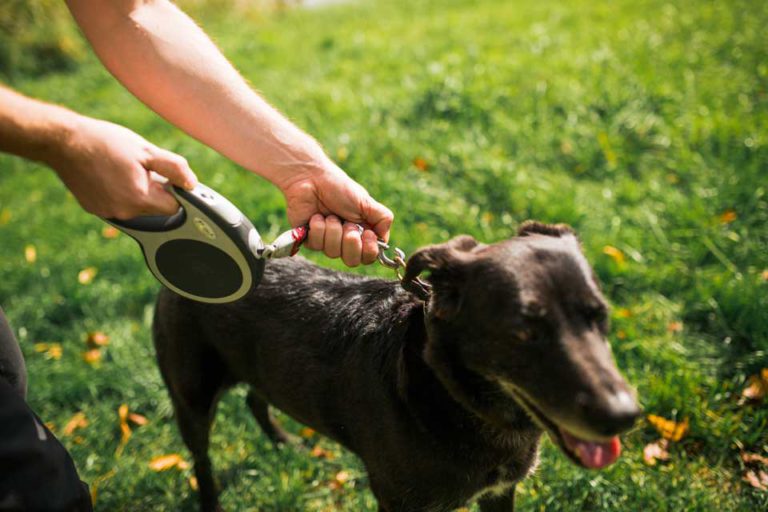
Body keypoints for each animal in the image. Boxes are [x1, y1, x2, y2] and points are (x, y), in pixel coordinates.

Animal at [152, 221, 640, 512]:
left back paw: (283, 442)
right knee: (201, 460)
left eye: (600, 315)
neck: (451, 397)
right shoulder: (397, 500)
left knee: (257, 397)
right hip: (191, 397)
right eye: (524, 332)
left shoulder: (501, 492)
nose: (625, 416)